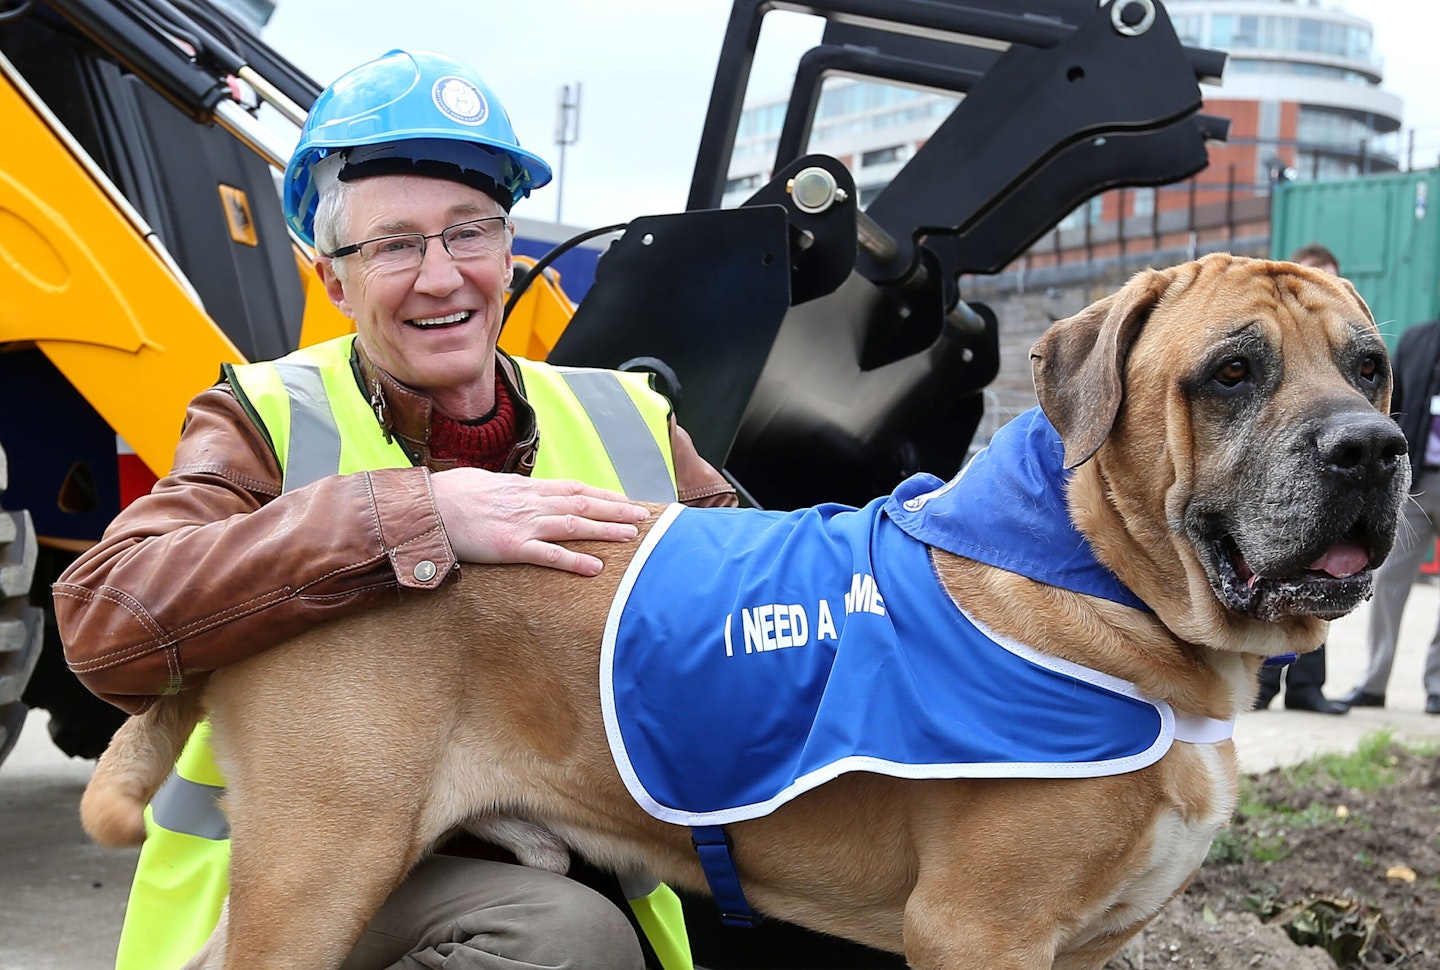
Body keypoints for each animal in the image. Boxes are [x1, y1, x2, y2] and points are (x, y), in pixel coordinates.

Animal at [75, 253, 1405, 961]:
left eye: (1372, 363)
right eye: (1231, 371)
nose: (1375, 449)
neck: (1105, 578)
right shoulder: (980, 926)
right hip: (318, 870)